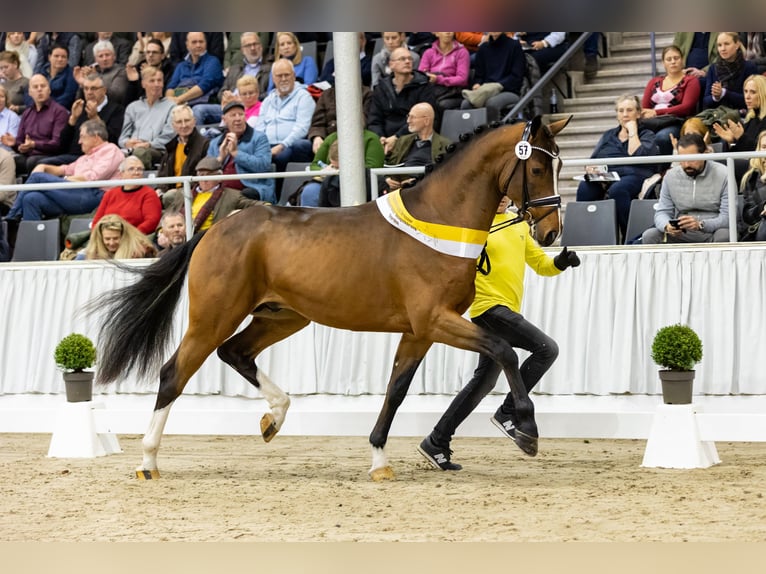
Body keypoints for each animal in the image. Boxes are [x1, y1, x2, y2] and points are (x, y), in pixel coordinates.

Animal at [88, 116, 568, 482]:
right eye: (537, 169)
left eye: (559, 163)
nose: (551, 233)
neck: (439, 220)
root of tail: (212, 230)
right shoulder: (435, 319)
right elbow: (504, 350)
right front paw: (526, 430)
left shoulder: (419, 331)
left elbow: (396, 390)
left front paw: (379, 461)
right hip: (214, 316)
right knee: (175, 373)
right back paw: (148, 460)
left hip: (283, 316)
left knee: (236, 353)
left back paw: (274, 417)